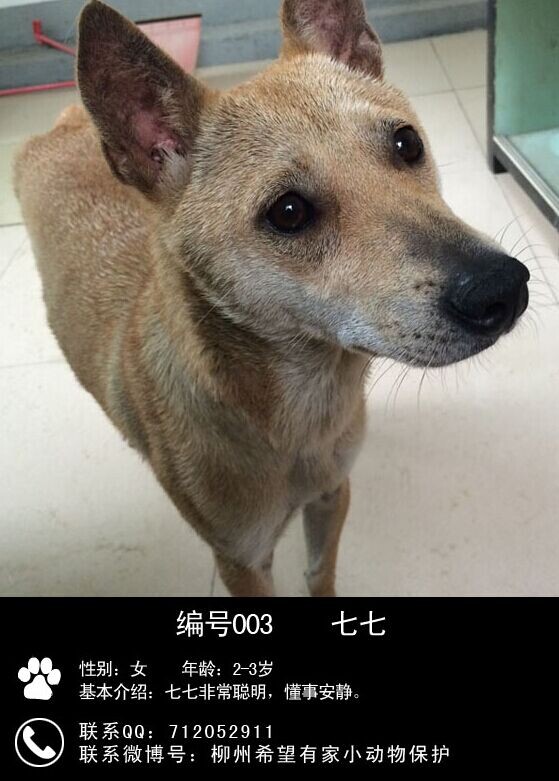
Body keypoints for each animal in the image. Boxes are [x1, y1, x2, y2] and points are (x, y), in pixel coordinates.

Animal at [13, 0, 529, 596]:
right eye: (288, 212)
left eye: (407, 143)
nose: (503, 288)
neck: (299, 417)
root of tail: (66, 120)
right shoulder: (242, 559)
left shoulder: (332, 495)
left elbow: (320, 571)